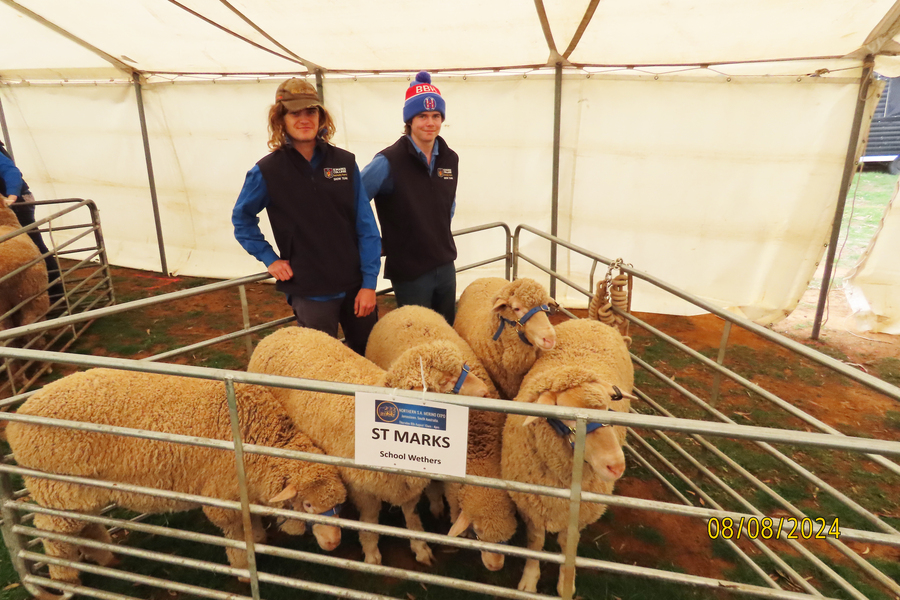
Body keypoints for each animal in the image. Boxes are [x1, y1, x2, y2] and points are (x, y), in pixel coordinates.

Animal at [5, 368, 346, 588]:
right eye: (307, 504)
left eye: (339, 505)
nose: (334, 544)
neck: (256, 439)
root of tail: (16, 418)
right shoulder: (222, 496)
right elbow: (237, 534)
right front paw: (242, 569)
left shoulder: (241, 491)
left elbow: (252, 527)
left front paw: (259, 540)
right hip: (56, 488)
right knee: (53, 534)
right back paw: (63, 580)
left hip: (79, 490)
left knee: (85, 525)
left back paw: (108, 559)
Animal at [246, 328, 488, 568]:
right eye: (447, 380)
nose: (485, 391)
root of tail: (278, 332)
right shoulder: (363, 488)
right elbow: (370, 522)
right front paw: (372, 554)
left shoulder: (406, 484)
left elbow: (412, 516)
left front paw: (420, 548)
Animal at [364, 304, 516, 572]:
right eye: (478, 535)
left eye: (507, 540)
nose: (495, 568)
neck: (476, 448)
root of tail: (403, 307)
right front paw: (440, 510)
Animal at [500, 318, 640, 596]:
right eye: (567, 416)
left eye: (609, 406)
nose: (616, 466)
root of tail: (593, 320)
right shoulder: (532, 503)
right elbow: (536, 541)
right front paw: (530, 579)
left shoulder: (580, 511)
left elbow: (568, 543)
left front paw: (566, 583)